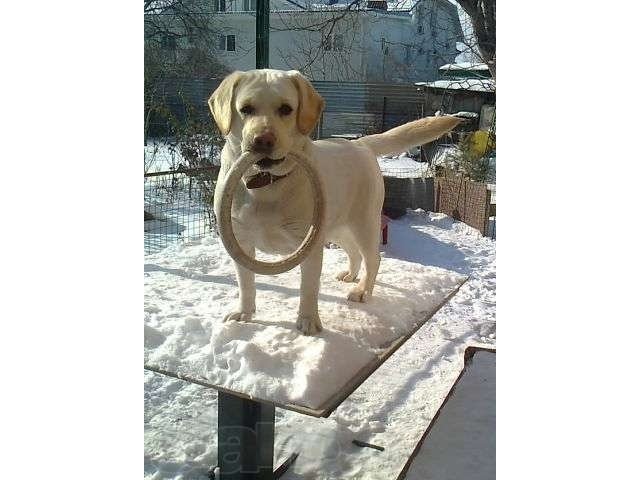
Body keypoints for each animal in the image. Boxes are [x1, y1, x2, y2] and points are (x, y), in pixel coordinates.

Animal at [210, 70, 460, 334]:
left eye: (286, 109)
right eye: (245, 109)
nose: (262, 140)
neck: (265, 184)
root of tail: (359, 142)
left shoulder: (309, 245)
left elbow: (309, 288)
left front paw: (308, 321)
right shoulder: (241, 242)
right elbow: (246, 283)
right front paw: (244, 313)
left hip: (364, 224)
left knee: (373, 258)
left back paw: (362, 290)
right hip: (337, 227)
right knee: (354, 253)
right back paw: (350, 275)